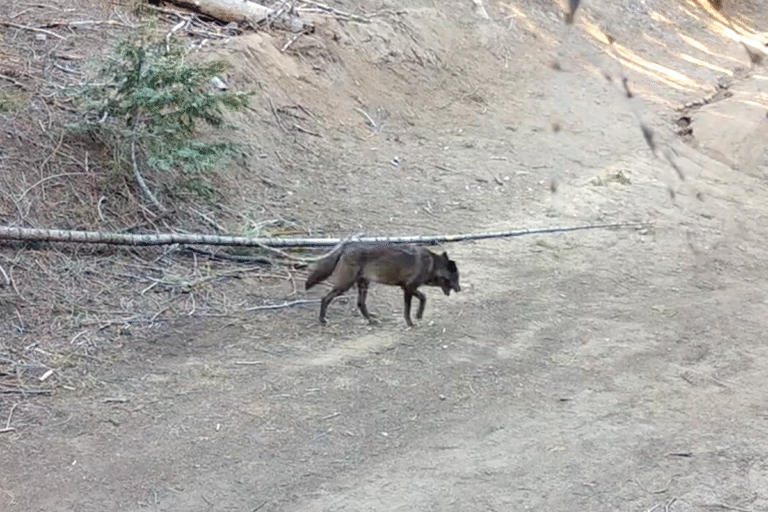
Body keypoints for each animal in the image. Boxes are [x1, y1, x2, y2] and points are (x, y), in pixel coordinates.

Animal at [305, 243, 461, 327]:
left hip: (363, 284)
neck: (432, 264)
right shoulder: (408, 288)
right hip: (345, 285)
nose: (460, 289)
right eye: (457, 278)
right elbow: (407, 309)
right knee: (325, 298)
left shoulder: (408, 287)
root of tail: (347, 245)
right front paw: (410, 323)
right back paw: (322, 320)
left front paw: (419, 315)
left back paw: (371, 320)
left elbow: (424, 298)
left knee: (360, 303)